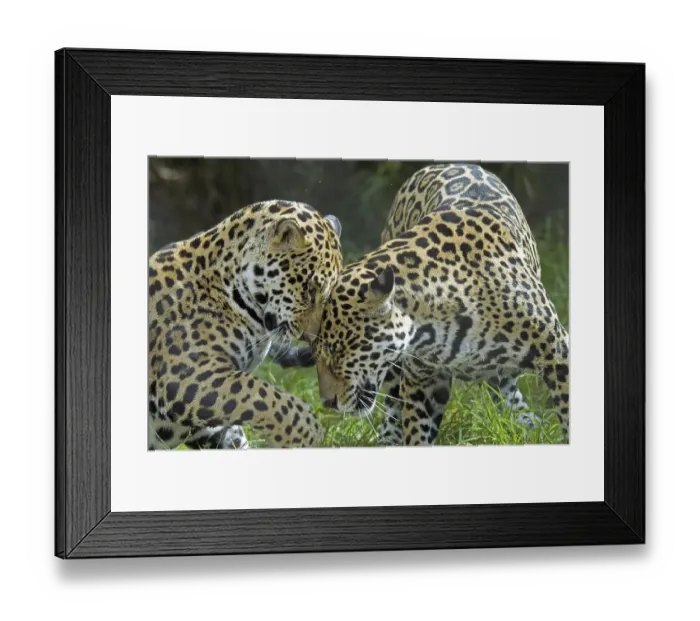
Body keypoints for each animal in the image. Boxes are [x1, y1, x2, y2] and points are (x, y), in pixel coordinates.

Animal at [148, 200, 343, 450]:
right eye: (310, 289)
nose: (311, 336)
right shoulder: (183, 373)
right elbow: (259, 394)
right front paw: (307, 430)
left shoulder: (211, 425)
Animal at [313, 163, 570, 446]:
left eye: (338, 354)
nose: (328, 402)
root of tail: (437, 164)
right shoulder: (423, 380)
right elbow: (416, 432)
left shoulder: (557, 352)